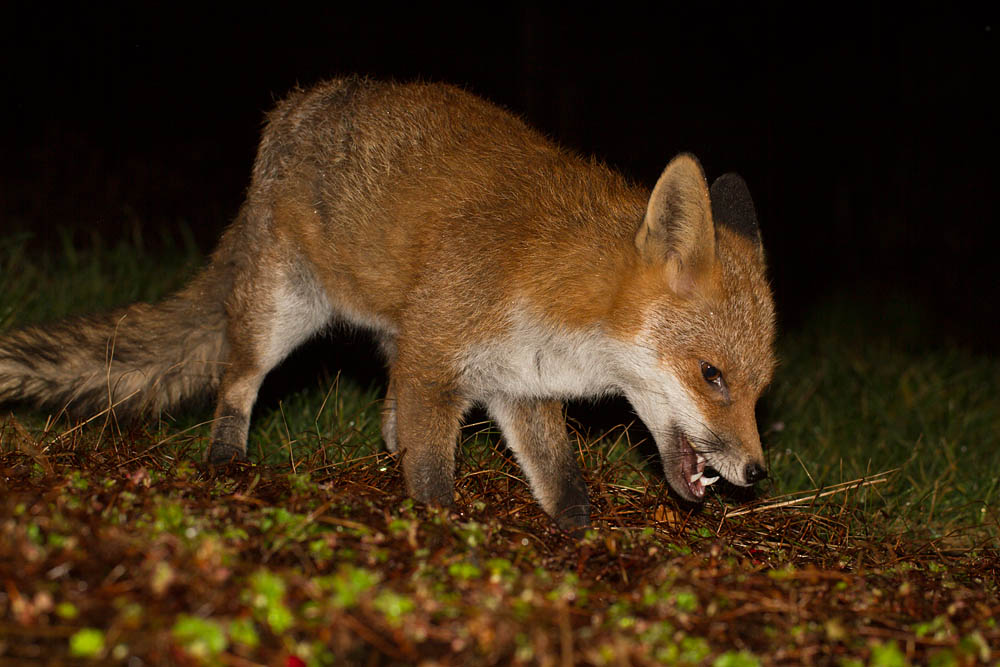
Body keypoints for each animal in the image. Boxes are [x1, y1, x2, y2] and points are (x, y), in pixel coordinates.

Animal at [0, 77, 775, 531]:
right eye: (712, 375)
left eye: (758, 389)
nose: (757, 474)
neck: (557, 297)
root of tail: (292, 107)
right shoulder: (439, 356)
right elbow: (433, 479)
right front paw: (438, 535)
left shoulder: (515, 383)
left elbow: (562, 479)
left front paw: (573, 538)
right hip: (281, 311)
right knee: (237, 383)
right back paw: (227, 460)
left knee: (384, 416)